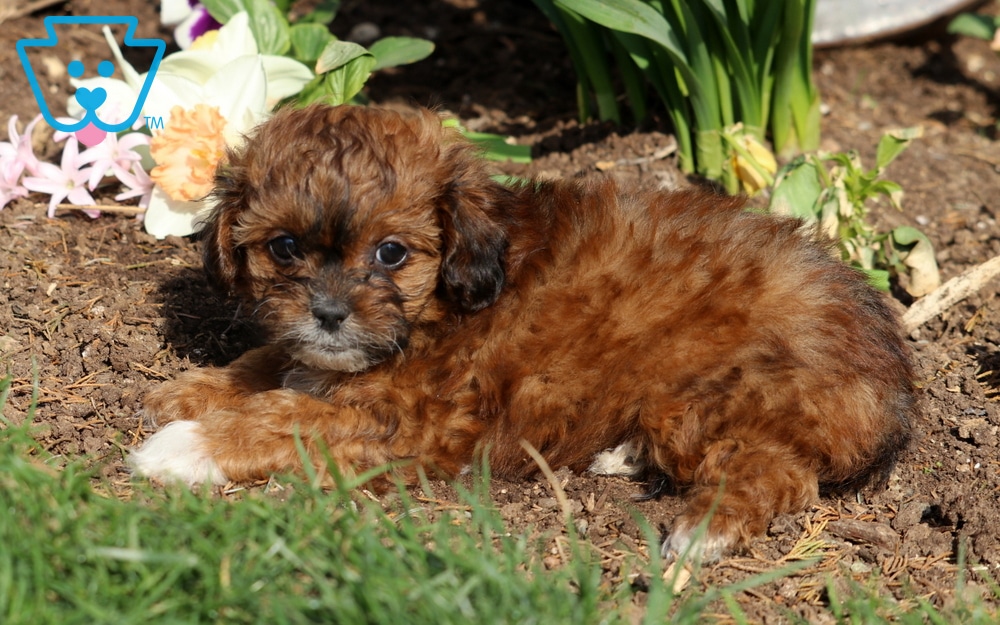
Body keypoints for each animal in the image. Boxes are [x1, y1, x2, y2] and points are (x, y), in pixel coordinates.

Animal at [130, 104, 915, 561]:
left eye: (392, 253)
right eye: (285, 248)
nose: (327, 312)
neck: (441, 306)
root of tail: (888, 378)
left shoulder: (407, 421)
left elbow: (285, 416)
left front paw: (187, 445)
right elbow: (275, 363)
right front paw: (193, 389)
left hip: (708, 393)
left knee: (775, 470)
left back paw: (704, 527)